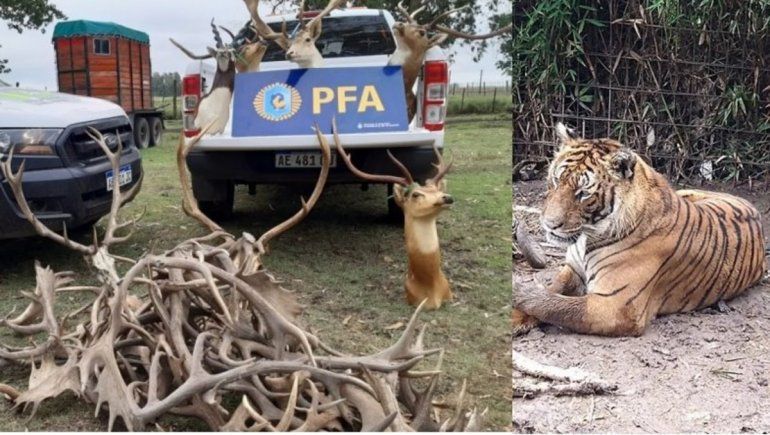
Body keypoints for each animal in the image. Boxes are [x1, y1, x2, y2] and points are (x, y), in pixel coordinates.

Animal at [512, 123, 767, 336]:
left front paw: (519, 291)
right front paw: (516, 317)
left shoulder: (614, 306)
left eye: (583, 193)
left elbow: (556, 304)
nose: (549, 224)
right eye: (556, 181)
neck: (588, 236)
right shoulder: (572, 270)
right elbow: (553, 288)